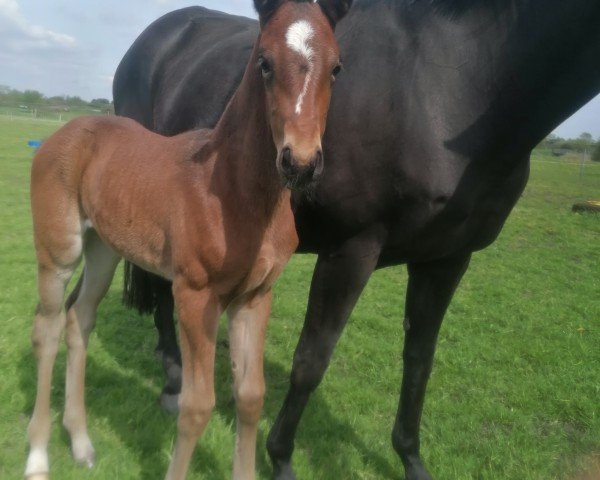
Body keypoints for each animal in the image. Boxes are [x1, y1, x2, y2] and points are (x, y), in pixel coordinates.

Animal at [24, 1, 352, 478]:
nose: (301, 163)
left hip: (103, 250)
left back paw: (82, 441)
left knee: (78, 318)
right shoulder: (195, 295)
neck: (234, 189)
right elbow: (196, 407)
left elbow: (250, 397)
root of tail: (67, 131)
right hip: (59, 252)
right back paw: (37, 454)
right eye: (264, 62)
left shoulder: (254, 297)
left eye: (337, 68)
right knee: (46, 328)